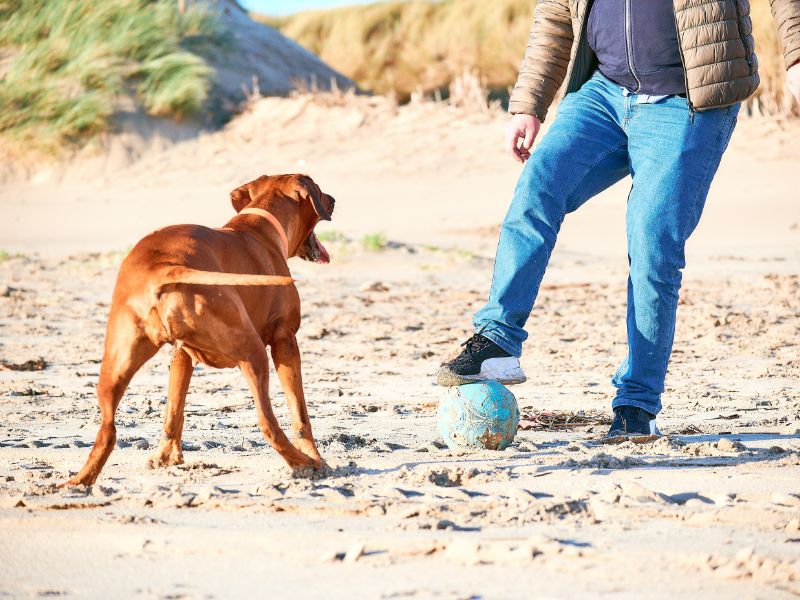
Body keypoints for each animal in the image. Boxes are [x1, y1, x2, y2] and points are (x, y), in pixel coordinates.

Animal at [63, 175, 334, 488]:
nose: (333, 200)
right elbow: (300, 415)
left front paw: (166, 457)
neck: (261, 226)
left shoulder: (181, 354)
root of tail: (167, 269)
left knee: (107, 429)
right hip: (253, 350)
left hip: (116, 362)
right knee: (267, 424)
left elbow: (174, 410)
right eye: (321, 191)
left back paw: (78, 481)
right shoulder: (285, 342)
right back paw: (305, 464)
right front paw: (316, 456)